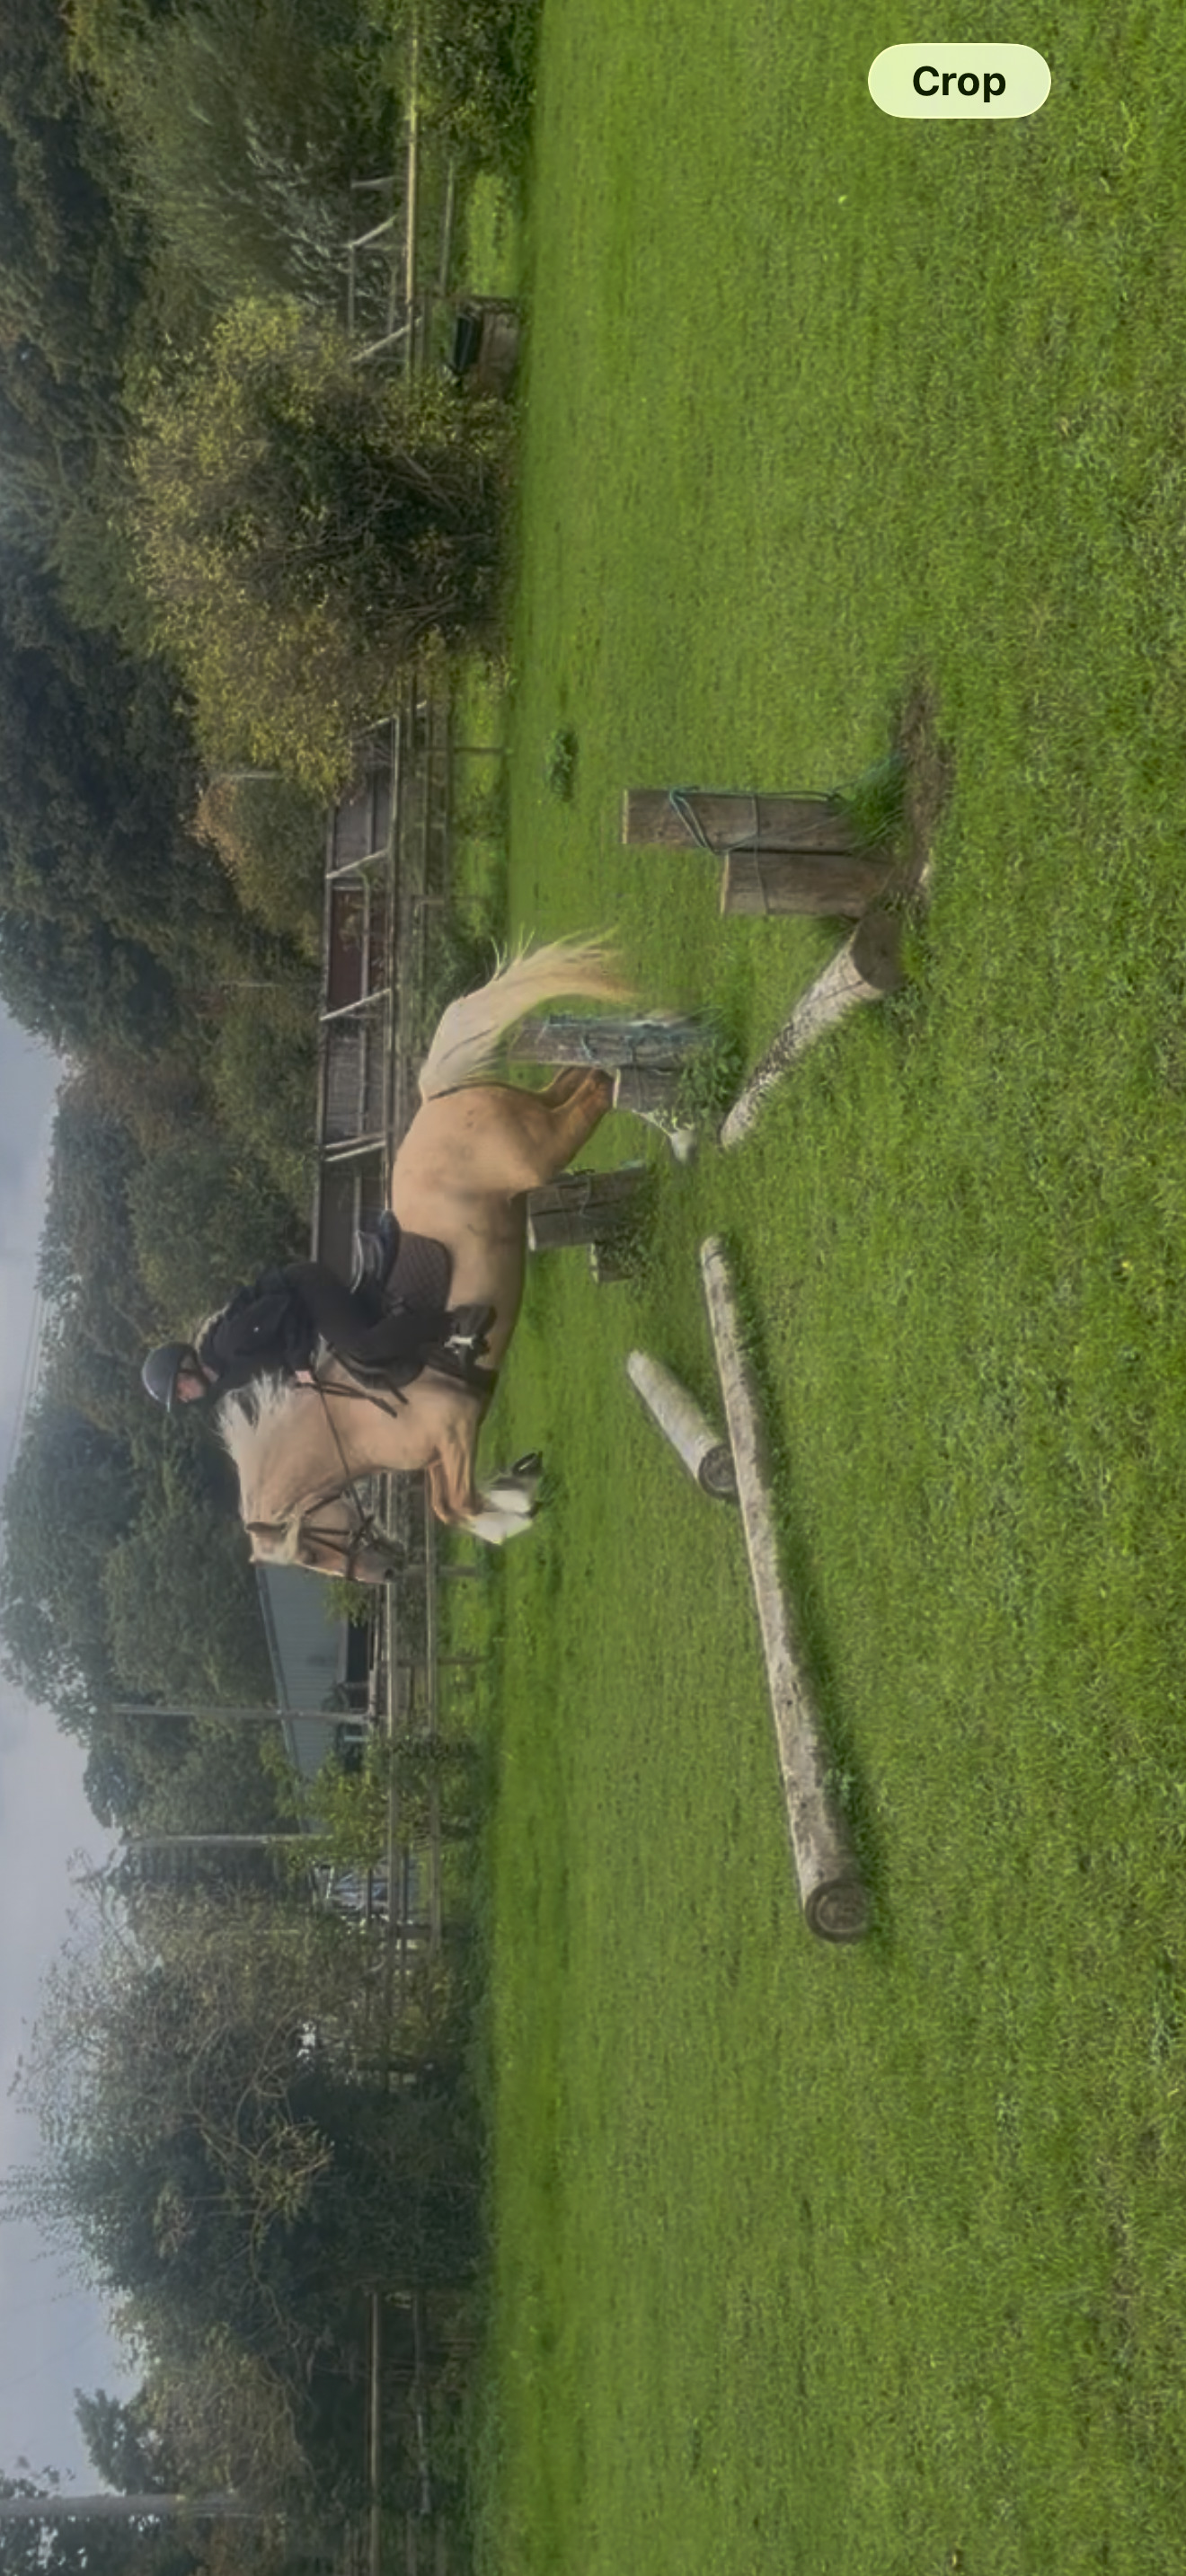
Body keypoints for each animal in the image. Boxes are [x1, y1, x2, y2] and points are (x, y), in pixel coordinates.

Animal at [218, 936, 631, 1580]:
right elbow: (444, 1503)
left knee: (593, 1088)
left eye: (312, 1551)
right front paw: (520, 1488)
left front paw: (512, 1514)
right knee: (573, 1079)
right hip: (537, 1119)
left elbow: (454, 1506)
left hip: (541, 1150)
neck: (359, 1425)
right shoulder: (448, 1444)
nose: (384, 1574)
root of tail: (434, 1097)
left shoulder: (454, 1433)